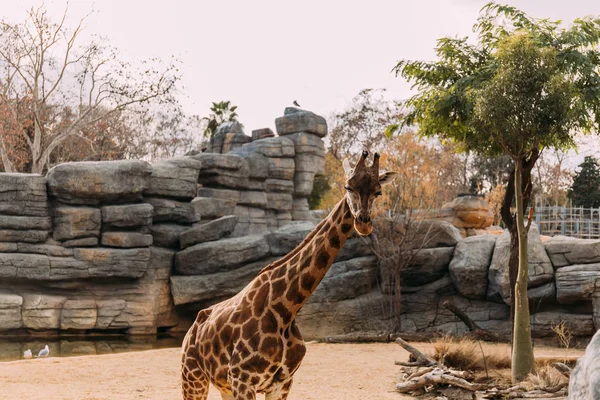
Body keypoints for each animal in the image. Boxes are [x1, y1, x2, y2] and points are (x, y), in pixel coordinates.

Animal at [182, 151, 398, 400]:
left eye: (378, 191)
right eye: (348, 186)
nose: (363, 223)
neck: (286, 310)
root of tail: (191, 331)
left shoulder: (282, 383)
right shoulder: (242, 379)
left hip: (222, 385)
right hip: (193, 376)